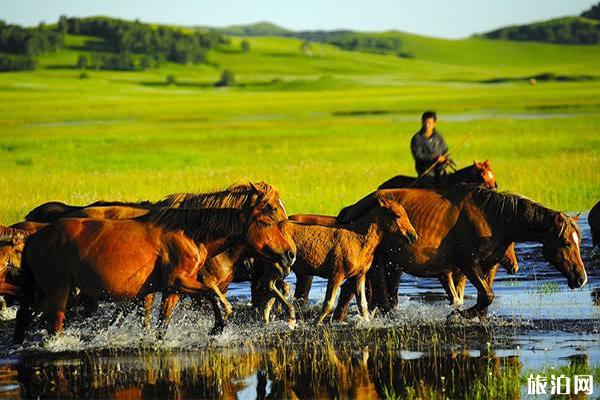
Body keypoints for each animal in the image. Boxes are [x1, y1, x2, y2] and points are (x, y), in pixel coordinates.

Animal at [336, 186, 588, 320]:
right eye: (566, 242)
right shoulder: (467, 264)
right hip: (378, 265)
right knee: (372, 297)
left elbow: (484, 297)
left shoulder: (488, 266)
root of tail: (354, 207)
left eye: (578, 241)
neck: (491, 218)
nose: (581, 279)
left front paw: (473, 316)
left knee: (357, 293)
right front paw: (458, 315)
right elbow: (487, 296)